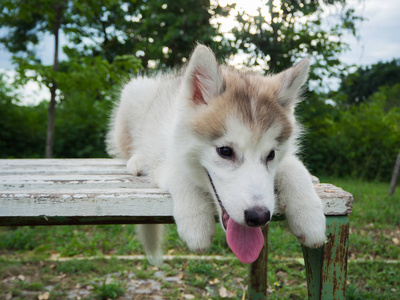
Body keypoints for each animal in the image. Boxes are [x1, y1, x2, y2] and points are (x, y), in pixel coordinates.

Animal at [108, 44, 326, 264]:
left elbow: (294, 167)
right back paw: (136, 160)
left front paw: (310, 216)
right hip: (134, 94)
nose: (258, 216)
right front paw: (196, 222)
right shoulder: (161, 157)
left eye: (271, 154)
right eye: (225, 151)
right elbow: (178, 173)